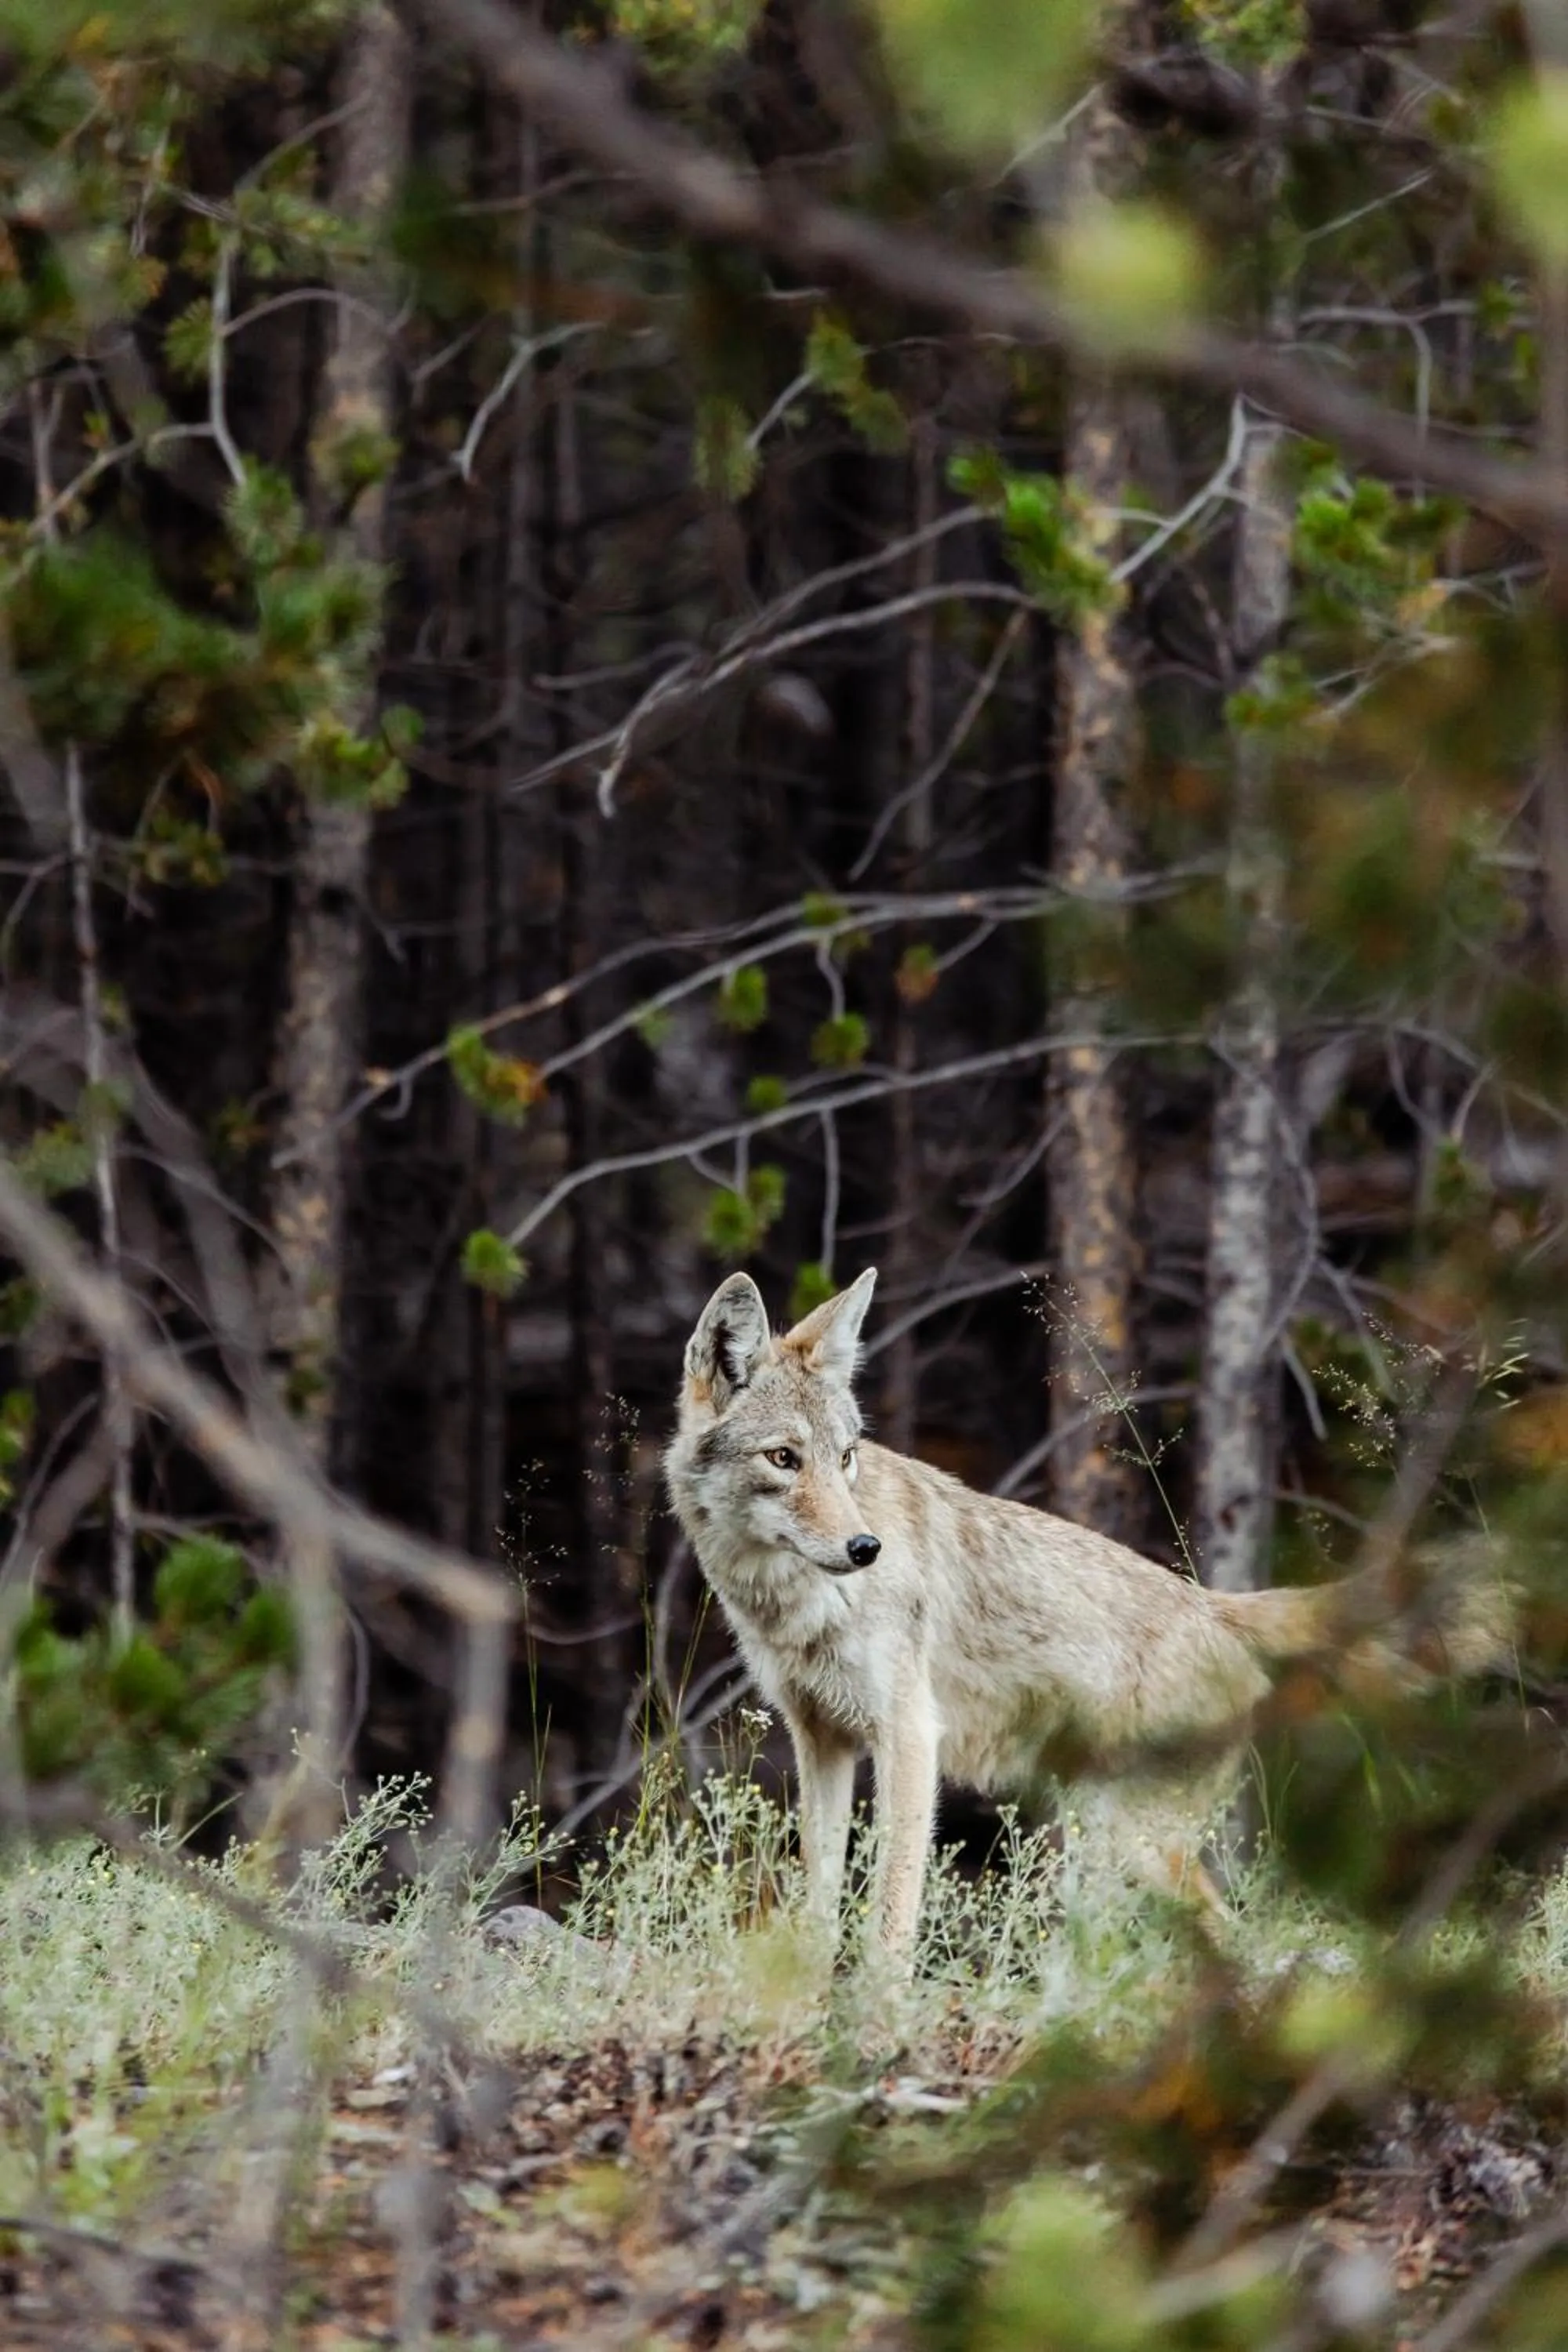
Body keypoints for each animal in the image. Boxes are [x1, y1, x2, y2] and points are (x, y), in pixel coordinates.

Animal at [665, 1266, 1509, 1961]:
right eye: (784, 1459)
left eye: (844, 1458)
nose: (864, 1546)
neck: (790, 1605)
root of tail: (1214, 1607)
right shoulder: (824, 1744)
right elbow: (817, 1912)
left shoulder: (909, 1740)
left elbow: (890, 1922)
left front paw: (876, 2027)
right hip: (1097, 1851)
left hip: (1131, 1848)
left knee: (1232, 1938)